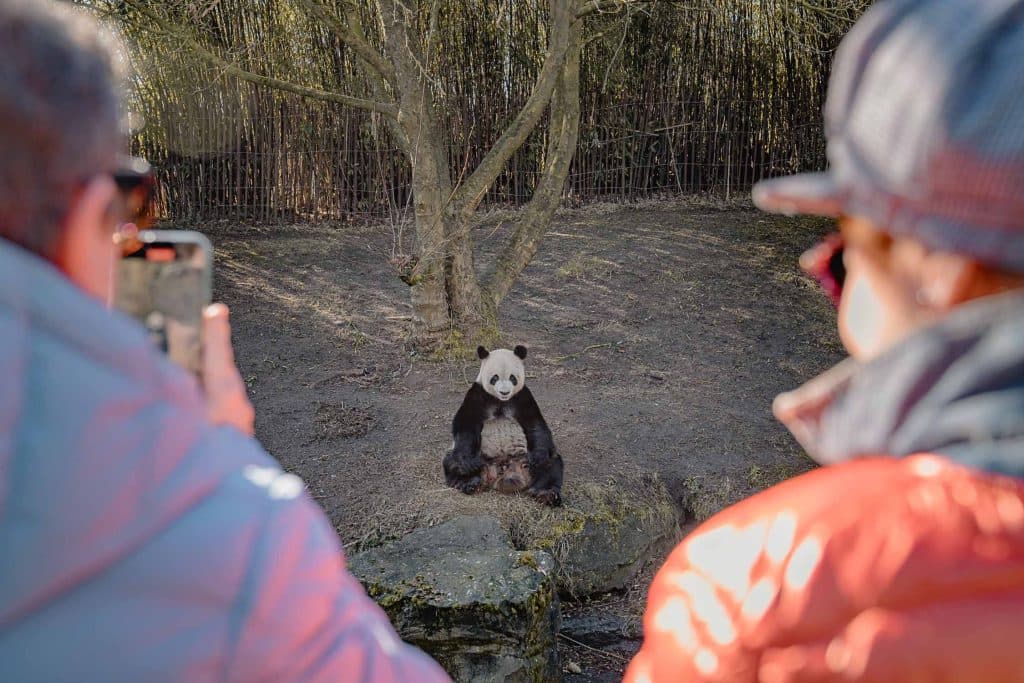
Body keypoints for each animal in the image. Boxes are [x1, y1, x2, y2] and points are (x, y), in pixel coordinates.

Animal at [443, 345, 563, 506]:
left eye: (513, 378)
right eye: (495, 378)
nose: (504, 392)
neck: (501, 400)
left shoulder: (522, 397)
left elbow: (535, 424)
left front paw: (539, 456)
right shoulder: (478, 395)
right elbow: (466, 425)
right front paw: (468, 464)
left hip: (526, 458)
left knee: (552, 464)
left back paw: (546, 494)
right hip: (479, 458)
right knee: (451, 462)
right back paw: (470, 482)